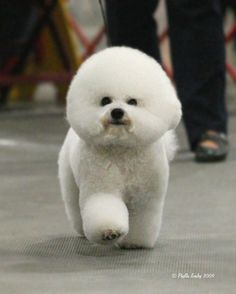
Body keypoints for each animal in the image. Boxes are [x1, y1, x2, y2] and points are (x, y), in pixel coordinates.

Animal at [58, 47, 182, 249]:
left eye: (132, 102)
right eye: (105, 100)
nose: (117, 112)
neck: (122, 150)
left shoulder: (144, 196)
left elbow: (141, 218)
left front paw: (135, 242)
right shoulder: (102, 188)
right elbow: (105, 208)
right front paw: (109, 232)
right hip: (69, 179)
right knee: (74, 205)